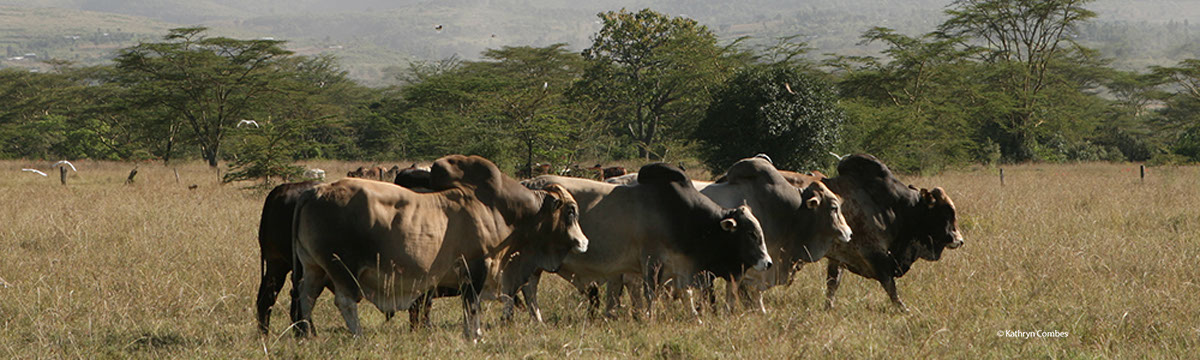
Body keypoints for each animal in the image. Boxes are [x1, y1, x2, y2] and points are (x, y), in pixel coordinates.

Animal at [292, 154, 588, 338]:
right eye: (571, 211)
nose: (584, 242)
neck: (500, 210)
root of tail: (315, 191)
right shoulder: (476, 266)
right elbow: (472, 305)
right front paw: (475, 335)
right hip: (342, 267)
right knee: (344, 301)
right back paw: (358, 336)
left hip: (314, 267)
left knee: (305, 296)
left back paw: (308, 334)